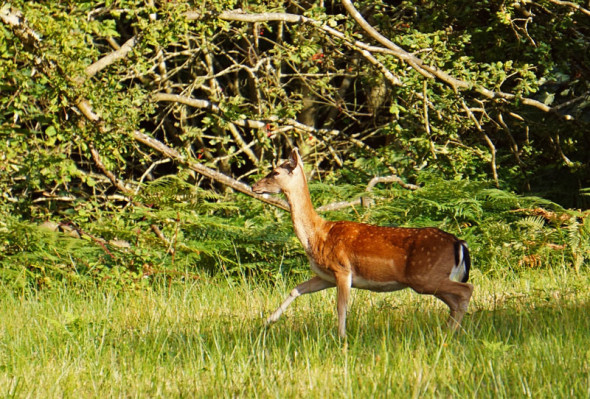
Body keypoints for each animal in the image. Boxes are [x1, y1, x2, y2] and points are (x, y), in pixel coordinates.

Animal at [252, 148, 474, 340]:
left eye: (275, 172)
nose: (255, 186)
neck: (317, 236)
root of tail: (459, 242)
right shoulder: (326, 275)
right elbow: (297, 289)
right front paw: (268, 321)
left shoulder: (342, 268)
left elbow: (341, 306)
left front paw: (342, 337)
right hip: (429, 279)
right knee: (454, 301)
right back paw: (445, 332)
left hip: (425, 276)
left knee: (467, 289)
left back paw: (450, 333)